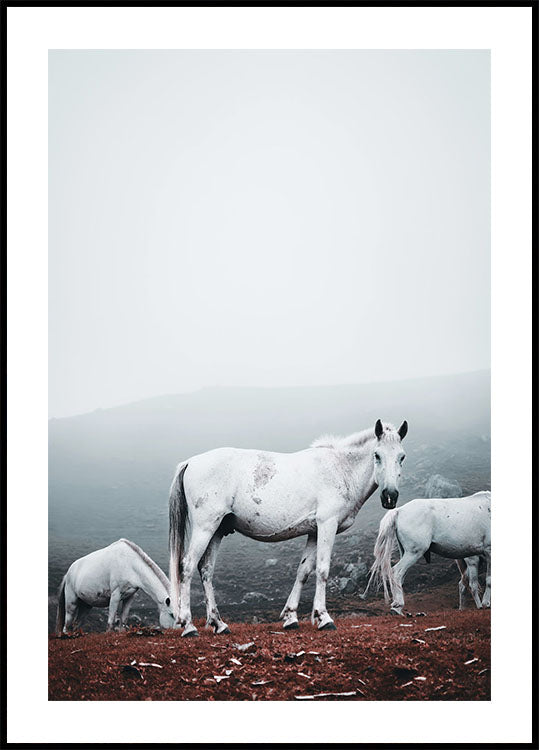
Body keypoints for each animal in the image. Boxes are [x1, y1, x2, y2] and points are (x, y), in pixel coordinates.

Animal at [168, 418, 408, 637]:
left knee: (206, 570)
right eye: (377, 455)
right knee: (187, 567)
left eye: (401, 457)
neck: (340, 469)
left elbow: (303, 571)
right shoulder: (327, 525)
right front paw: (324, 618)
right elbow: (322, 570)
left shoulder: (314, 531)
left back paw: (219, 624)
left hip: (217, 531)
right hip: (205, 527)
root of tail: (190, 462)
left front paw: (291, 617)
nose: (390, 496)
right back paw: (189, 626)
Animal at [362, 491, 491, 614]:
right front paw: (485, 604)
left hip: (406, 553)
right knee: (396, 572)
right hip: (414, 553)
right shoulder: (488, 551)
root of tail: (399, 510)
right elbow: (489, 580)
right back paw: (397, 606)